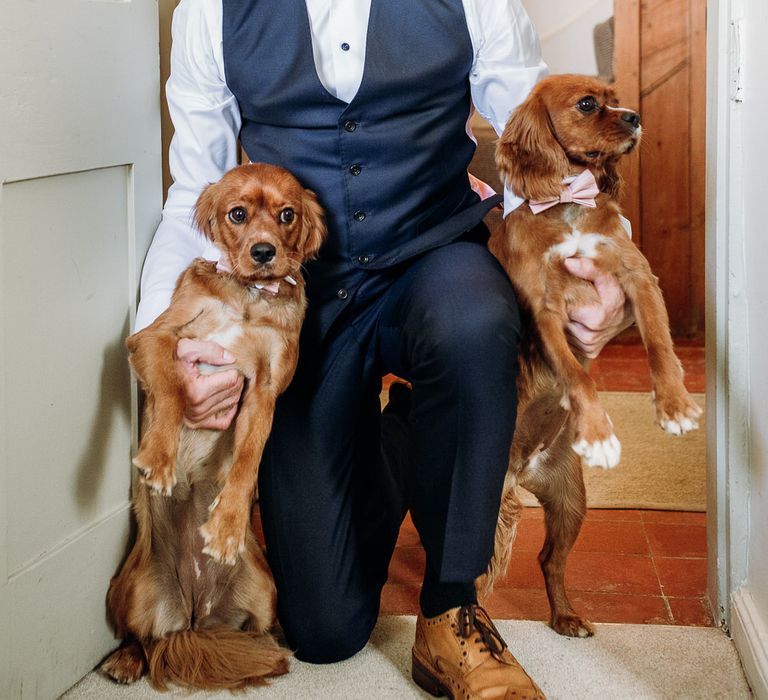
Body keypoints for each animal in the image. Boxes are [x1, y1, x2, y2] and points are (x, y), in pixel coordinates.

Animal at [100, 164, 326, 688]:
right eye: (237, 214)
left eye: (287, 214)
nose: (263, 252)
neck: (249, 295)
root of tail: (194, 616)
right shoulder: (156, 338)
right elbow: (171, 388)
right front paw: (159, 458)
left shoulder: (265, 389)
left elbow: (247, 462)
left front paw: (224, 526)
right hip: (129, 588)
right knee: (142, 639)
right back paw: (124, 660)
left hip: (265, 587)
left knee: (253, 631)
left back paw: (266, 651)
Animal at [480, 75, 704, 636]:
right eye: (587, 104)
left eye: (615, 97)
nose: (635, 117)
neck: (568, 208)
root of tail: (521, 470)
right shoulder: (544, 312)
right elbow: (579, 378)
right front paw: (600, 433)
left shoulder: (636, 277)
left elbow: (660, 345)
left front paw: (675, 406)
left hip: (571, 503)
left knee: (548, 561)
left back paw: (565, 616)